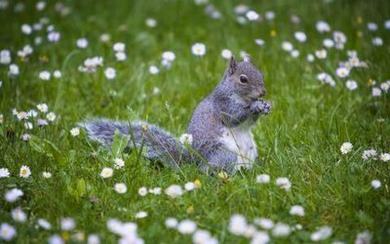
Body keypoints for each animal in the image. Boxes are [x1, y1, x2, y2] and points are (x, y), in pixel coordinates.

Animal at [80, 55, 270, 173]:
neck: (241, 96)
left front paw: (266, 106)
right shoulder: (222, 104)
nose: (263, 92)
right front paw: (255, 106)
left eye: (260, 73)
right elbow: (233, 117)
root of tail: (194, 163)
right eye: (243, 79)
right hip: (225, 155)